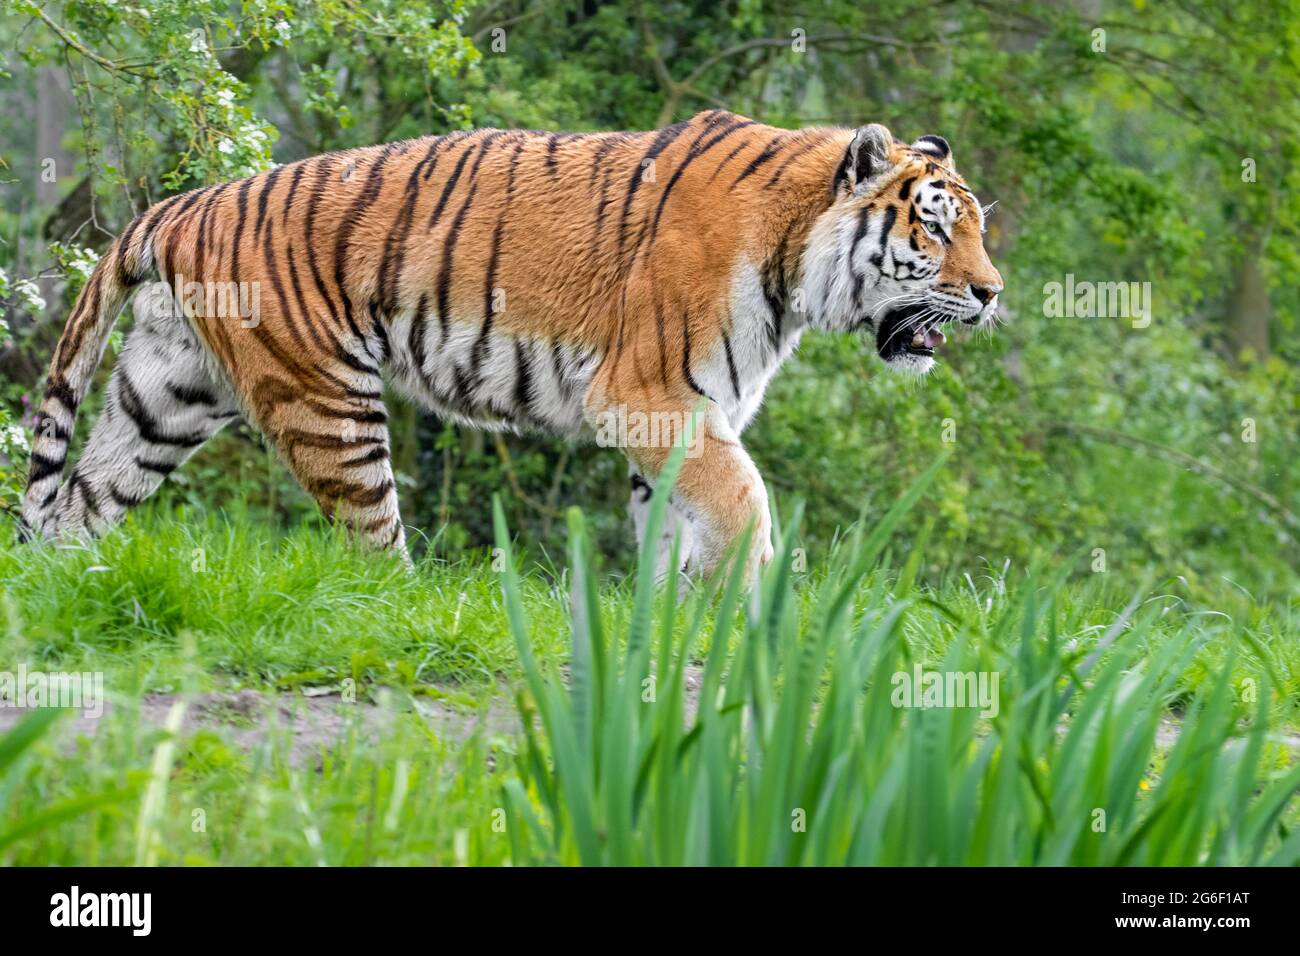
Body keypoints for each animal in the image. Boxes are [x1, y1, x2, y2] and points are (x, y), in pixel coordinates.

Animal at [20, 107, 1003, 580]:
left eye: (980, 230)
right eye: (937, 227)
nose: (993, 294)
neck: (797, 260)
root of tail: (184, 201)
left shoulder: (685, 410)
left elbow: (673, 521)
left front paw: (674, 620)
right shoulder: (648, 393)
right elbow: (741, 500)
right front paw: (750, 601)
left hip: (168, 396)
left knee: (77, 504)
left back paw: (63, 589)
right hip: (326, 399)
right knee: (371, 543)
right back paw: (407, 609)